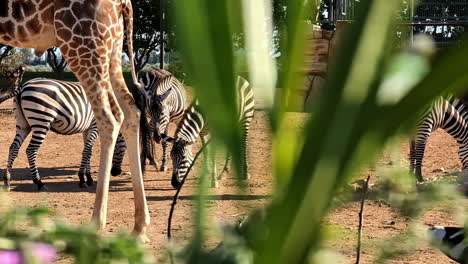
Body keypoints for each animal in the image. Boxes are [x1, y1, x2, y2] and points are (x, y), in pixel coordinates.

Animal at [0, 0, 150, 242]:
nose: (117, 172)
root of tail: (123, 3)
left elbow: (87, 149)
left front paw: (84, 178)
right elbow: (86, 149)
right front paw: (84, 177)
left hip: (84, 42)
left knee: (110, 117)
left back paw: (96, 224)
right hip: (112, 46)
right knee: (130, 112)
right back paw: (139, 226)